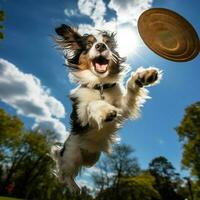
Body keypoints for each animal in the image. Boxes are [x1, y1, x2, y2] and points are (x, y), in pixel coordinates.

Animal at [52, 24, 162, 193]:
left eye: (107, 43)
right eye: (89, 44)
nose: (101, 46)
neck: (100, 85)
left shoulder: (123, 107)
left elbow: (130, 88)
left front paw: (142, 76)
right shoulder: (81, 116)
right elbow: (91, 105)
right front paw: (105, 110)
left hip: (92, 160)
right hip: (72, 155)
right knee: (63, 172)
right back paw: (73, 187)